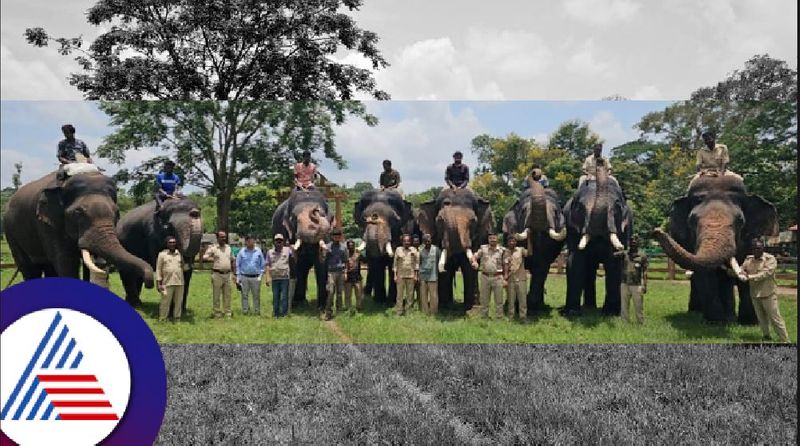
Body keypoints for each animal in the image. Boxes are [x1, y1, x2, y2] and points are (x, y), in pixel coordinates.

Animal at [2, 169, 155, 288]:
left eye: (117, 213)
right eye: (78, 213)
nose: (149, 283)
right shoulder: (48, 225)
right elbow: (66, 260)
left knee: (48, 266)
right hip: (10, 232)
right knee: (29, 268)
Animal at [564, 165, 632, 318]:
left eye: (617, 207)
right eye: (580, 207)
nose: (600, 161)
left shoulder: (623, 228)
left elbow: (614, 262)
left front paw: (611, 313)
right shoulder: (572, 227)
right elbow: (576, 260)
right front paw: (572, 312)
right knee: (589, 268)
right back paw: (589, 307)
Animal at [652, 174, 780, 324]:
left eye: (740, 221)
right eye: (692, 221)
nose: (657, 231)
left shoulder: (750, 240)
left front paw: (749, 322)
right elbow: (706, 275)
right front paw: (716, 322)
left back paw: (730, 318)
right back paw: (697, 313)